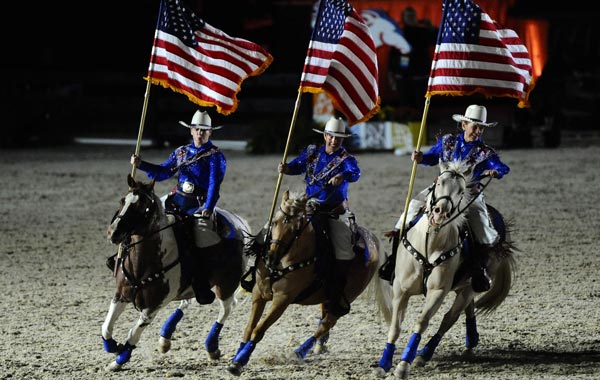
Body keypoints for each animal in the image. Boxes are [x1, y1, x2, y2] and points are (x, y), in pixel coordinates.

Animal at [101, 175, 251, 372]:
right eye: (122, 201)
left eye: (144, 208)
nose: (113, 232)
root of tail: (240, 223)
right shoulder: (120, 295)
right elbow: (106, 327)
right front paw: (113, 347)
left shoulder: (153, 307)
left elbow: (133, 333)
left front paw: (120, 359)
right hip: (195, 285)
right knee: (188, 301)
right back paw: (165, 339)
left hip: (226, 284)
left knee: (228, 307)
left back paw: (212, 348)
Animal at [225, 191, 384, 376]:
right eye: (275, 222)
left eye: (296, 229)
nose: (272, 257)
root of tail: (373, 240)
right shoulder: (259, 293)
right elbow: (249, 327)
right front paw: (237, 357)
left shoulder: (282, 299)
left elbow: (259, 330)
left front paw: (239, 362)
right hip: (328, 296)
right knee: (324, 318)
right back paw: (318, 346)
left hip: (346, 296)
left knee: (328, 322)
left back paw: (299, 352)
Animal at [376, 160, 516, 378]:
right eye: (438, 182)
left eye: (461, 190)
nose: (440, 211)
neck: (430, 243)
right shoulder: (401, 290)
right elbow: (395, 327)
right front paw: (384, 364)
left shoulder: (438, 291)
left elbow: (422, 322)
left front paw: (403, 365)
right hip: (462, 285)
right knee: (467, 309)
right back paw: (471, 341)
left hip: (472, 286)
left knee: (450, 318)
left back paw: (424, 354)